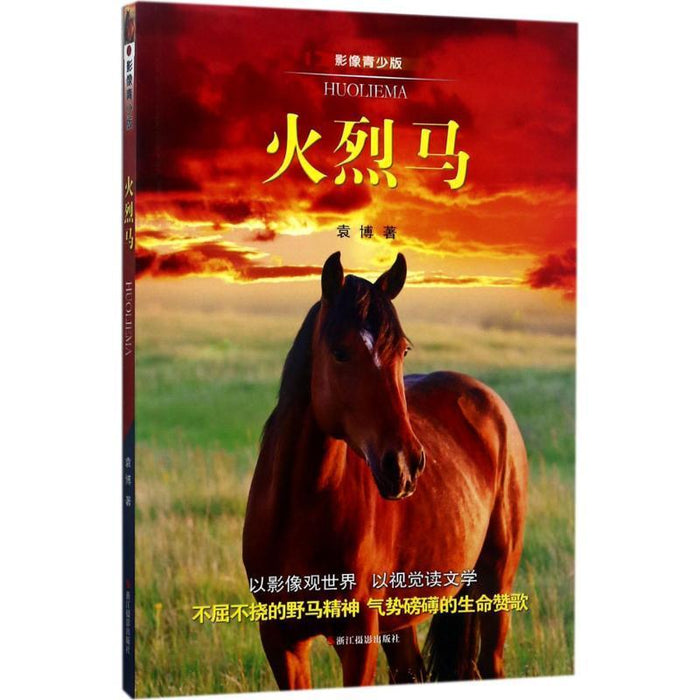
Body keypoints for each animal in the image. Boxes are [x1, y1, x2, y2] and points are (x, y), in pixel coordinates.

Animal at [242, 251, 528, 687]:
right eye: (340, 352)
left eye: (403, 351)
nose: (406, 464)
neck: (299, 513)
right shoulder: (280, 639)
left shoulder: (359, 636)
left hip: (496, 584)